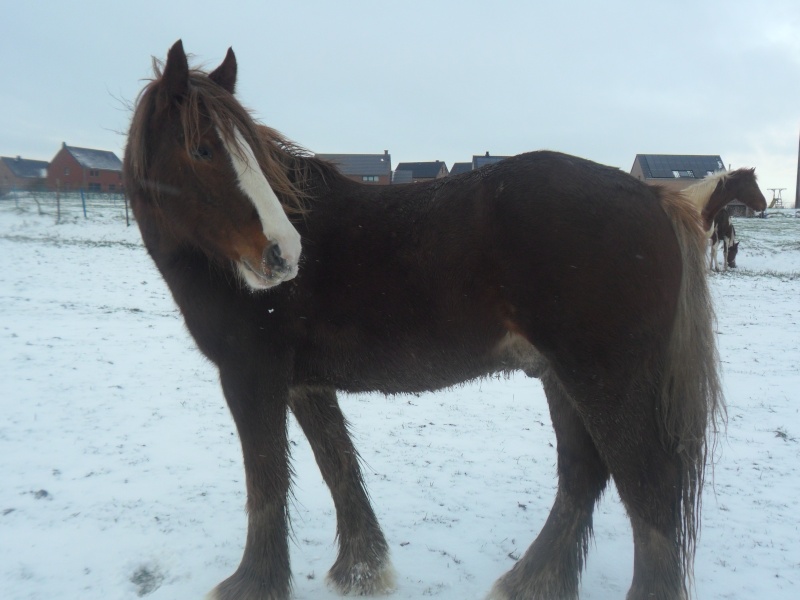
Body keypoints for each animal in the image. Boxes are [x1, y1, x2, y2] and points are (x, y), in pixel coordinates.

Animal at [125, 39, 724, 596]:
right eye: (202, 149)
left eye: (249, 150)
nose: (284, 253)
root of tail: (653, 196)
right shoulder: (303, 384)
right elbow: (337, 465)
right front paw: (362, 570)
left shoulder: (250, 377)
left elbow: (266, 480)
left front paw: (255, 583)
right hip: (562, 377)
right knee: (584, 475)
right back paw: (530, 580)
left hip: (606, 382)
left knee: (648, 490)